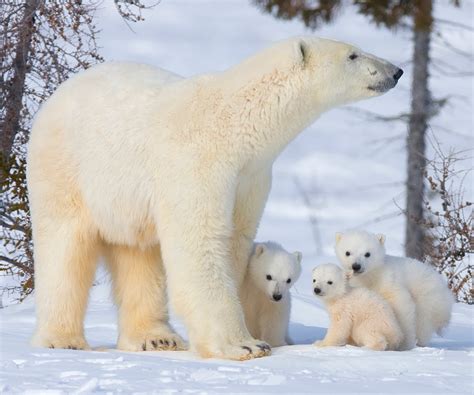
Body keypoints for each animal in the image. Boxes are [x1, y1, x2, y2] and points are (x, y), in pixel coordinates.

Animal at [27, 37, 402, 362]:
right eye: (353, 54)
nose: (396, 71)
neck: (235, 124)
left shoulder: (251, 177)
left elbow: (235, 240)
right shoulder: (197, 163)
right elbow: (200, 241)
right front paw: (245, 345)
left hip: (125, 199)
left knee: (138, 253)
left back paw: (157, 338)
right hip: (67, 169)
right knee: (65, 246)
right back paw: (63, 340)